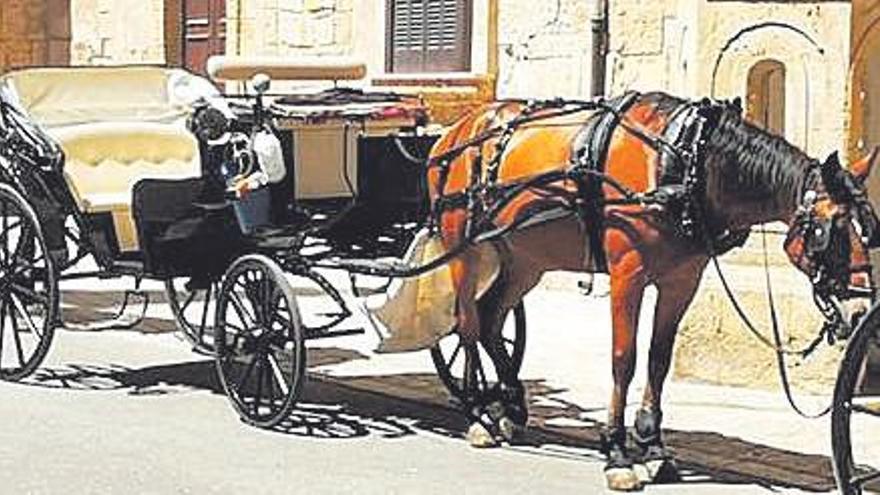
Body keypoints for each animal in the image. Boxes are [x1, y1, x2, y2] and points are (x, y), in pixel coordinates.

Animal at [426, 93, 880, 492]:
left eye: (868, 229)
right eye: (828, 234)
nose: (861, 312)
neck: (685, 160)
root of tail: (453, 134)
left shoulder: (681, 280)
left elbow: (659, 358)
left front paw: (653, 446)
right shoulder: (628, 274)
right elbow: (623, 360)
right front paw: (616, 453)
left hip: (525, 258)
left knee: (492, 321)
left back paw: (510, 407)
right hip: (463, 250)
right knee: (468, 325)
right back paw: (479, 414)